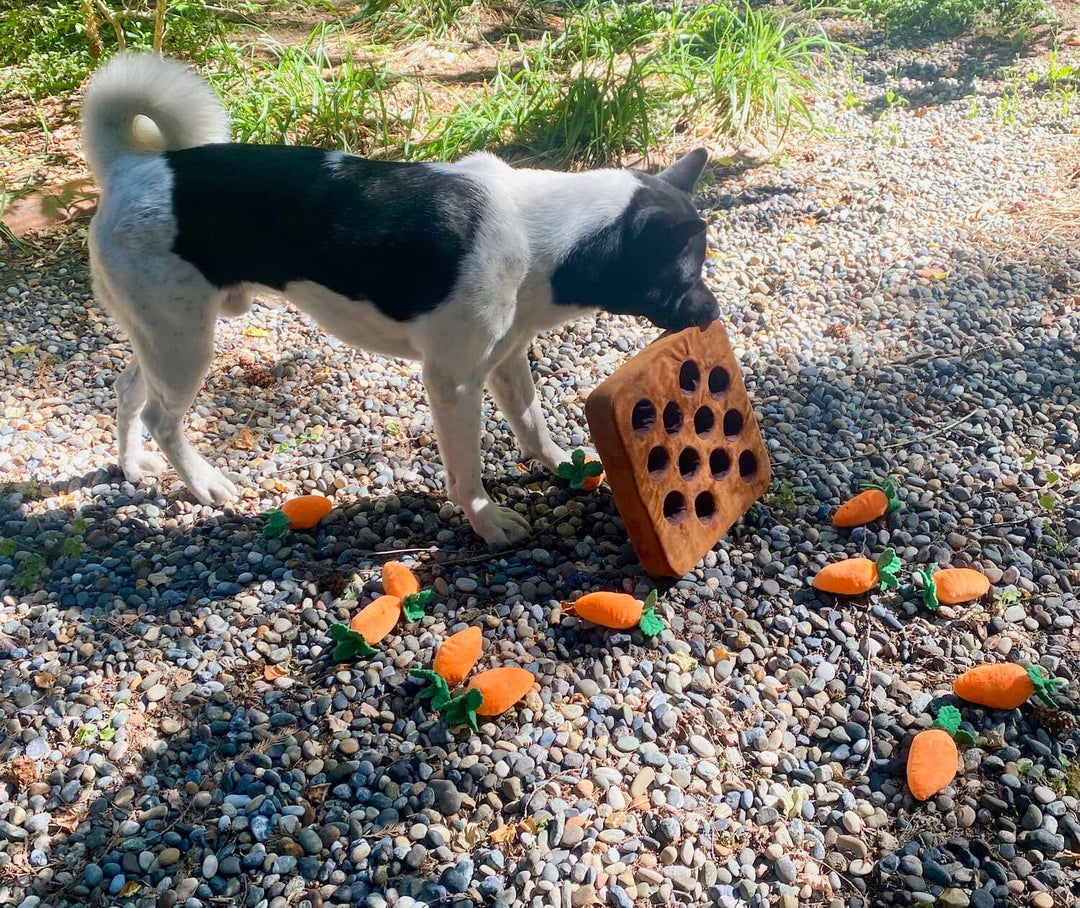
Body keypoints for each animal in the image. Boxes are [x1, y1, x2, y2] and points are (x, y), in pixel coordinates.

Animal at [82, 53, 717, 541]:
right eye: (686, 274)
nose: (713, 315)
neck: (543, 235)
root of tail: (131, 168)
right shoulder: (453, 382)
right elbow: (467, 469)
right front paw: (488, 523)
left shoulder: (507, 359)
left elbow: (532, 425)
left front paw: (562, 464)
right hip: (185, 343)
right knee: (162, 415)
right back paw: (203, 482)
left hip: (165, 335)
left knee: (128, 389)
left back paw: (132, 464)